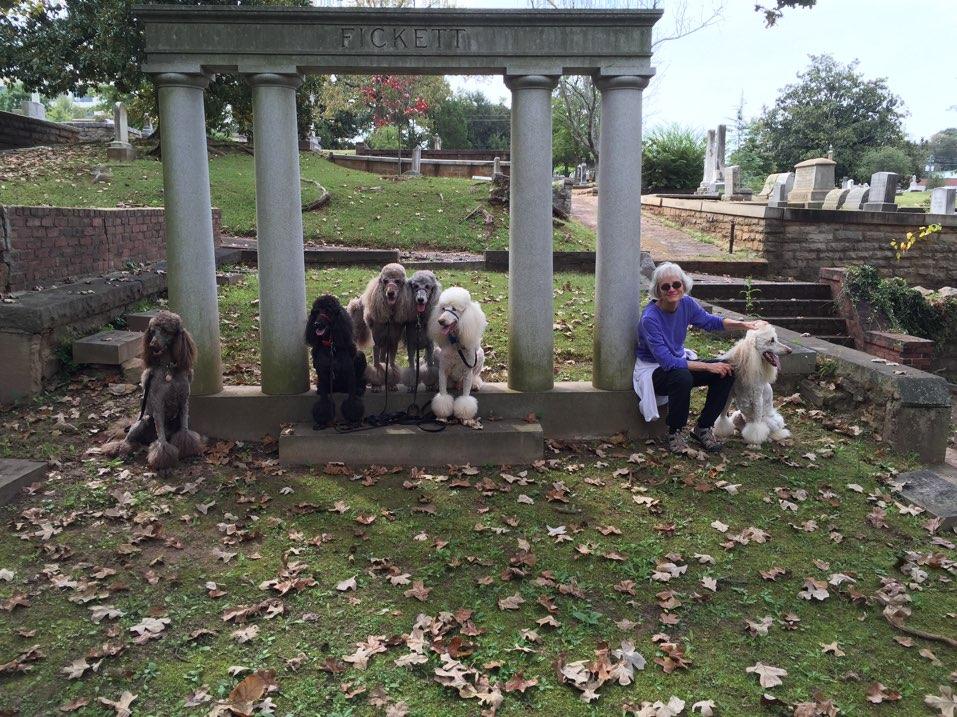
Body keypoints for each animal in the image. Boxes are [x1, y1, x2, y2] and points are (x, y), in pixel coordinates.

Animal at [101, 310, 204, 470]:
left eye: (166, 330)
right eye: (152, 331)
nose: (153, 345)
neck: (168, 368)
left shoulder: (184, 402)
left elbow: (185, 432)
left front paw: (189, 451)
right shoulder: (158, 405)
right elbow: (161, 440)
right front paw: (163, 462)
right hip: (142, 421)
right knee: (126, 441)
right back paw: (124, 453)